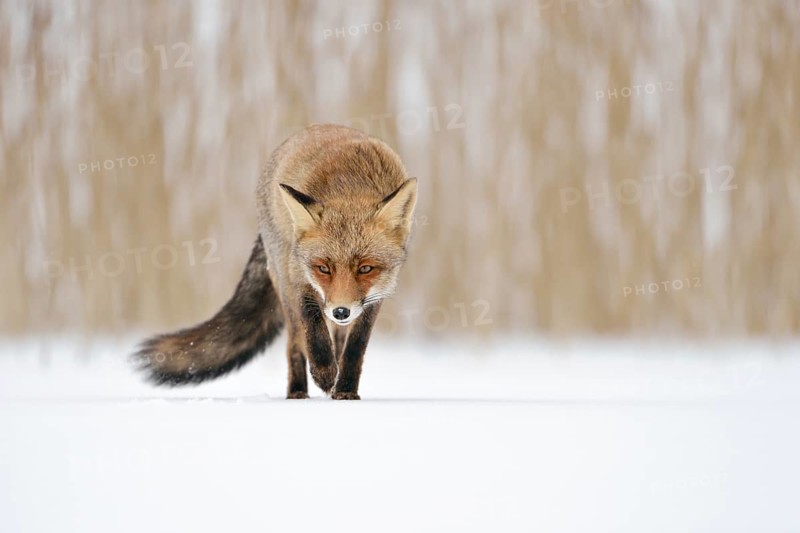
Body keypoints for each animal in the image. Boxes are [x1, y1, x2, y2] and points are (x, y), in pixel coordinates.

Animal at [133, 124, 417, 400]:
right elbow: (314, 333)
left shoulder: (376, 296)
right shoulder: (298, 277)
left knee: (336, 340)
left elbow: (355, 347)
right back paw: (297, 392)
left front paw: (345, 389)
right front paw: (325, 374)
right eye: (323, 268)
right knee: (295, 344)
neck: (350, 186)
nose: (341, 311)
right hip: (284, 286)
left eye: (366, 268)